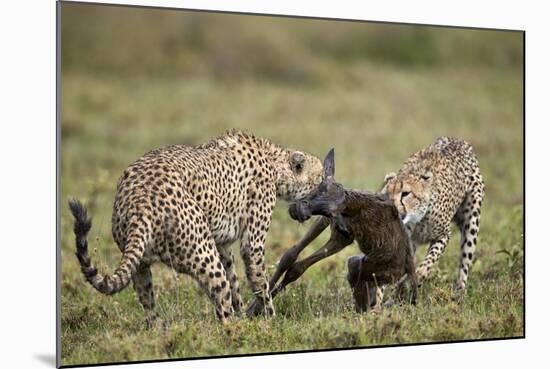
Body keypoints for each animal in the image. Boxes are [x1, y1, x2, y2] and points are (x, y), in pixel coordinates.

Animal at [68, 128, 324, 324]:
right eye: (321, 177)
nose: (326, 183)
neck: (274, 160)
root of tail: (140, 198)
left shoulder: (222, 244)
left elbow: (234, 279)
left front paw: (244, 312)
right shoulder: (250, 244)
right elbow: (259, 281)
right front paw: (269, 321)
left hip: (141, 262)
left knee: (148, 303)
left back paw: (160, 330)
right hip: (203, 255)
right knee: (222, 304)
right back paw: (235, 331)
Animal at [248, 148, 416, 312]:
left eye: (331, 210)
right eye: (320, 188)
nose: (298, 210)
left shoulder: (343, 236)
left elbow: (296, 268)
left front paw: (258, 307)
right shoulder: (327, 223)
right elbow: (289, 256)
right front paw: (256, 303)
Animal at [384, 137, 488, 298]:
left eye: (405, 193)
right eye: (387, 195)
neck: (418, 218)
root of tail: (456, 139)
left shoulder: (443, 235)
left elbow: (427, 264)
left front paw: (414, 280)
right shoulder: (404, 240)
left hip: (472, 219)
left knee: (465, 258)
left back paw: (460, 291)